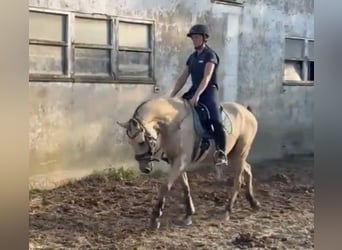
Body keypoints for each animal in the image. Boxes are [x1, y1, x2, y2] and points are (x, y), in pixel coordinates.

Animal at [116, 96, 260, 229]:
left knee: (238, 181)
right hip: (234, 155)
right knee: (248, 168)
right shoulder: (176, 161)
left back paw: (227, 211)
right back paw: (254, 202)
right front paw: (188, 215)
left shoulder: (180, 161)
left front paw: (155, 218)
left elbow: (165, 187)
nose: (144, 168)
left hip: (240, 153)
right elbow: (185, 187)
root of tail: (247, 112)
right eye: (130, 143)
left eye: (141, 142)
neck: (173, 123)